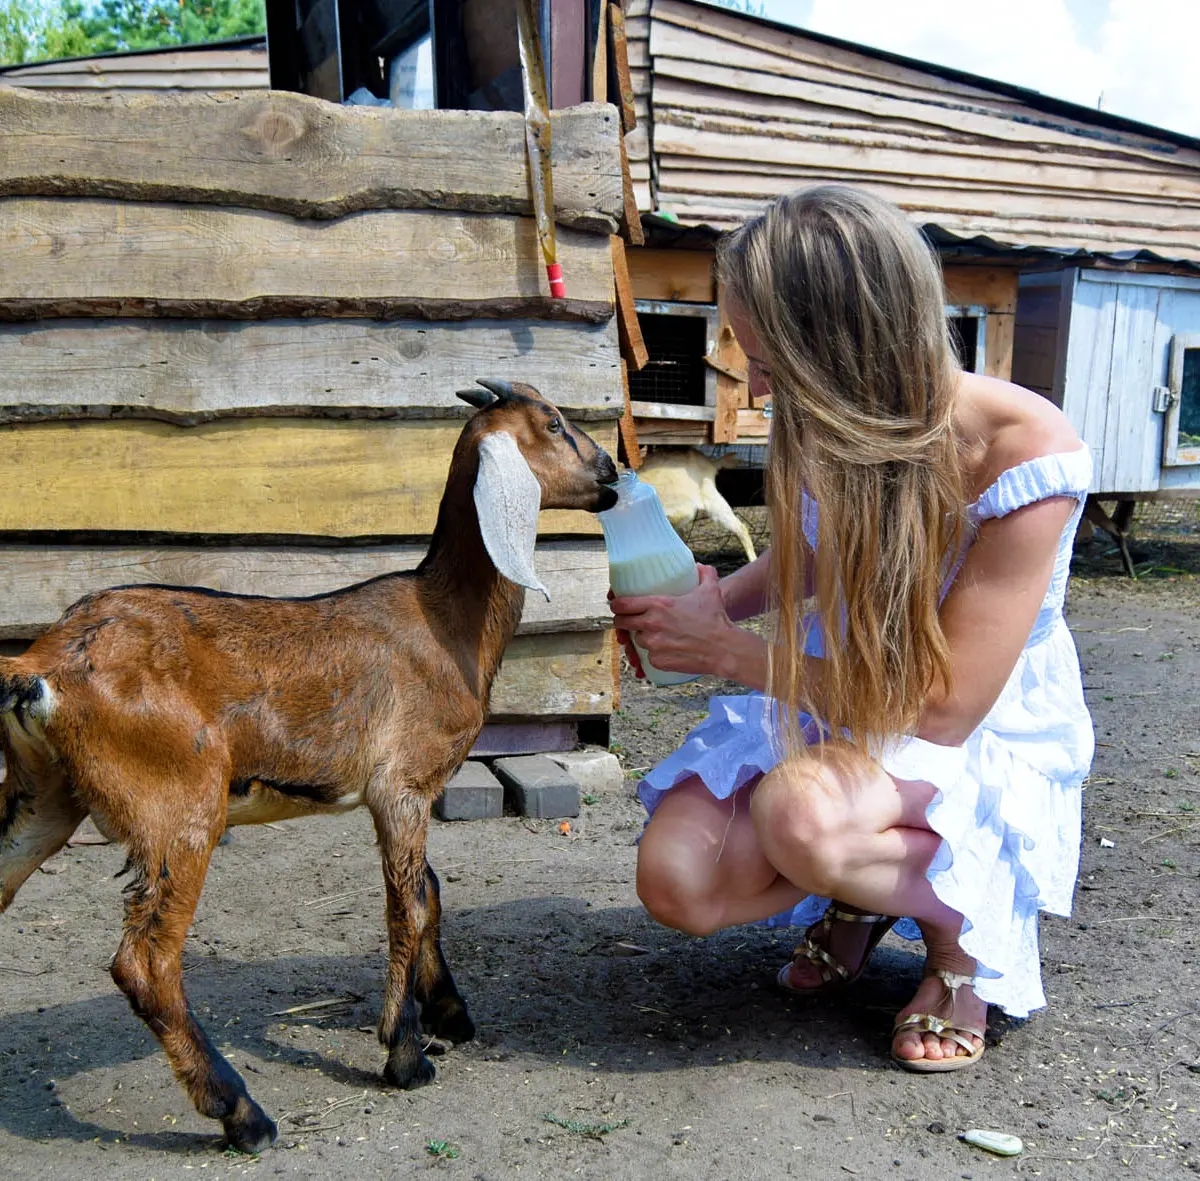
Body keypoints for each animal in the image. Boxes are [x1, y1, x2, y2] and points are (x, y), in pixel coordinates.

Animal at [0, 381, 619, 1152]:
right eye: (555, 425)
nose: (613, 474)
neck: (442, 619)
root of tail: (40, 662)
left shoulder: (412, 793)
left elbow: (429, 888)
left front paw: (448, 1011)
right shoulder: (402, 786)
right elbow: (407, 905)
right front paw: (404, 1052)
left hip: (42, 796)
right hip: (179, 809)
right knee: (145, 964)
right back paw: (240, 1110)